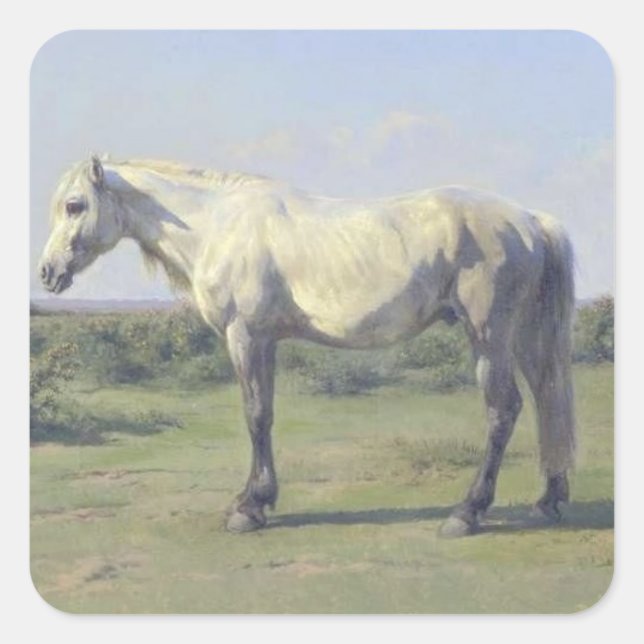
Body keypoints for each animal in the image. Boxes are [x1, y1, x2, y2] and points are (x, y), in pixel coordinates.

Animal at [38, 155, 576, 537]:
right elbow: (265, 414)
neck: (217, 225)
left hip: (489, 335)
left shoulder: (246, 336)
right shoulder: (265, 342)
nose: (47, 273)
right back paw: (549, 499)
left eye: (74, 206)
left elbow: (255, 416)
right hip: (523, 336)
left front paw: (249, 509)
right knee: (547, 397)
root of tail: (529, 220)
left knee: (503, 410)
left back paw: (467, 513)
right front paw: (256, 500)